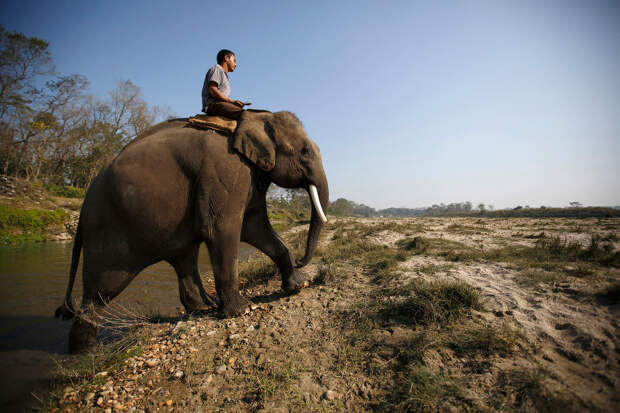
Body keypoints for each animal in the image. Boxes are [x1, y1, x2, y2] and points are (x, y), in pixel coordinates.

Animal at [54, 110, 330, 354]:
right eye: (305, 151)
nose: (301, 260)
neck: (257, 118)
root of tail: (84, 205)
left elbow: (255, 228)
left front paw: (299, 284)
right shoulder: (227, 172)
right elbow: (224, 228)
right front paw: (243, 310)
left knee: (184, 259)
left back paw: (203, 308)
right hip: (108, 232)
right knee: (102, 291)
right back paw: (87, 353)